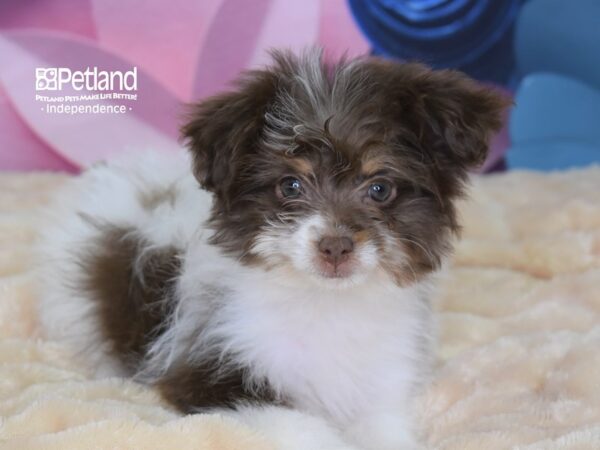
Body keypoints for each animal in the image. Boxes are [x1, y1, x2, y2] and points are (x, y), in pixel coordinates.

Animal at [37, 50, 508, 450]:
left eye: (380, 188)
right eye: (290, 185)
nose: (335, 246)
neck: (325, 305)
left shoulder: (381, 383)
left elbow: (383, 431)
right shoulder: (212, 376)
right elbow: (305, 427)